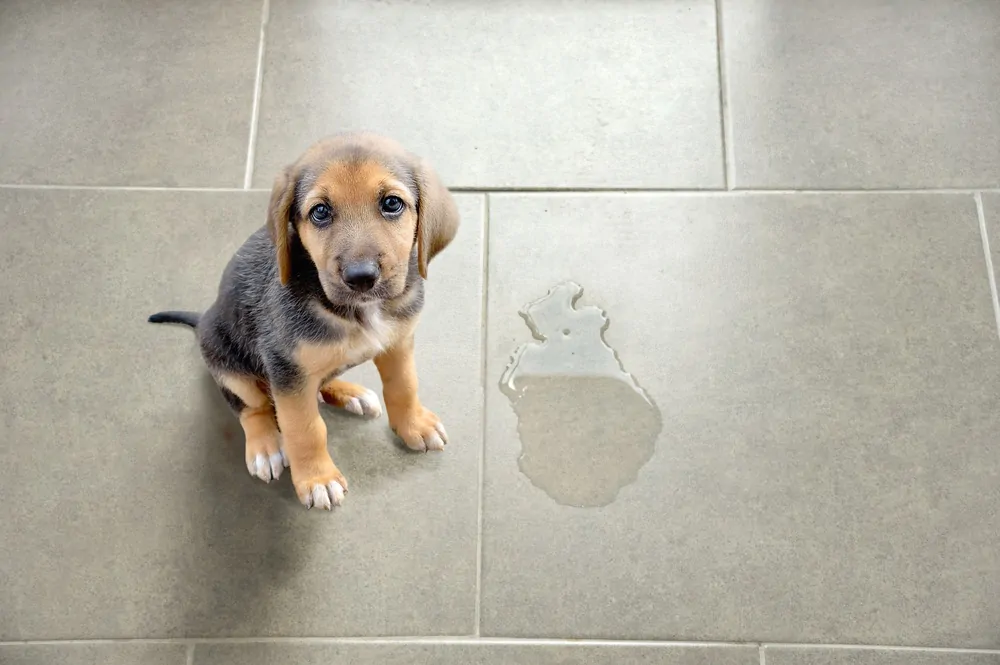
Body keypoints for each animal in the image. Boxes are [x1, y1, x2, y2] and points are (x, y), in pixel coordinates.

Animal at [148, 134, 460, 508]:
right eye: (320, 212)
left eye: (392, 203)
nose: (361, 278)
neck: (358, 312)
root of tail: (204, 317)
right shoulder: (286, 368)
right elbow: (305, 429)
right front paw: (317, 479)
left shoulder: (398, 342)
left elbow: (404, 386)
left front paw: (414, 424)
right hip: (227, 362)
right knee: (251, 407)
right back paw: (265, 446)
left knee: (319, 383)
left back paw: (350, 393)